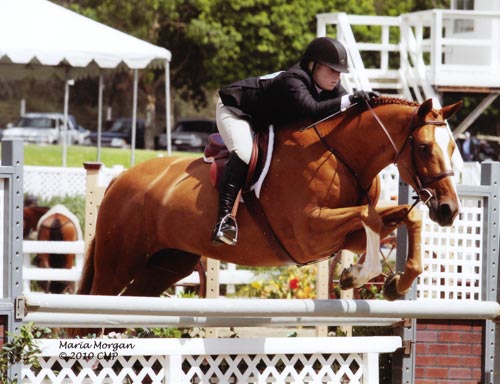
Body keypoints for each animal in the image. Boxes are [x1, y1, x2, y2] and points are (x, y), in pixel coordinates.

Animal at [73, 97, 460, 334]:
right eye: (424, 147)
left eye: (453, 147)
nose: (449, 210)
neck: (341, 154)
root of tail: (119, 179)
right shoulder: (309, 233)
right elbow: (371, 217)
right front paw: (356, 275)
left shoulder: (339, 234)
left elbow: (400, 219)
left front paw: (393, 283)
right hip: (118, 261)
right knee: (90, 313)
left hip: (165, 265)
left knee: (123, 308)